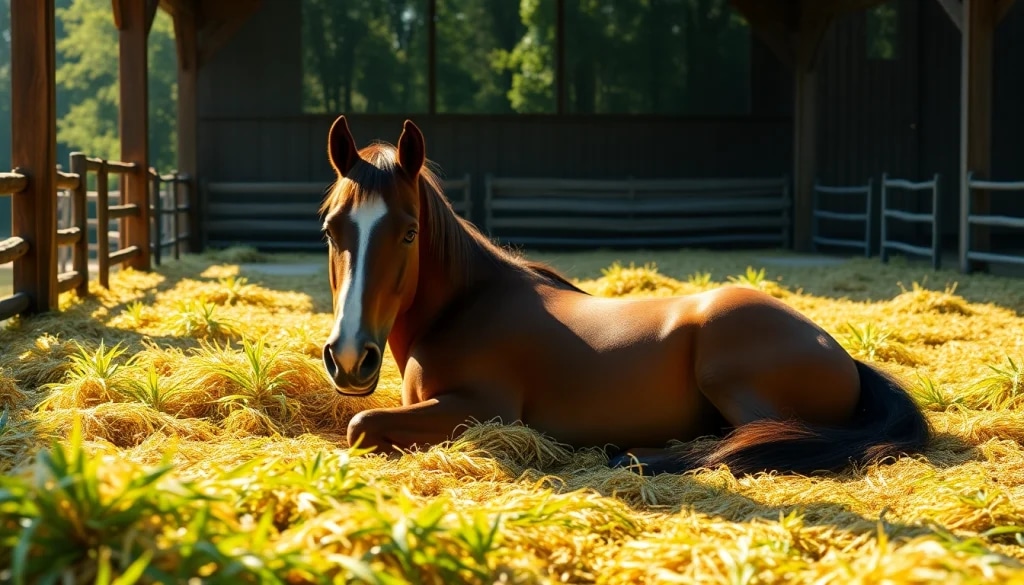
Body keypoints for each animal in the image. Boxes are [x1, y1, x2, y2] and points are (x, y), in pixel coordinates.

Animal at [318, 115, 931, 476]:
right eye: (330, 229)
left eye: (409, 232)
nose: (349, 358)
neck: (465, 309)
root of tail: (840, 352)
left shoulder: (482, 411)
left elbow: (360, 424)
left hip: (731, 378)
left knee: (758, 437)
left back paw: (637, 455)